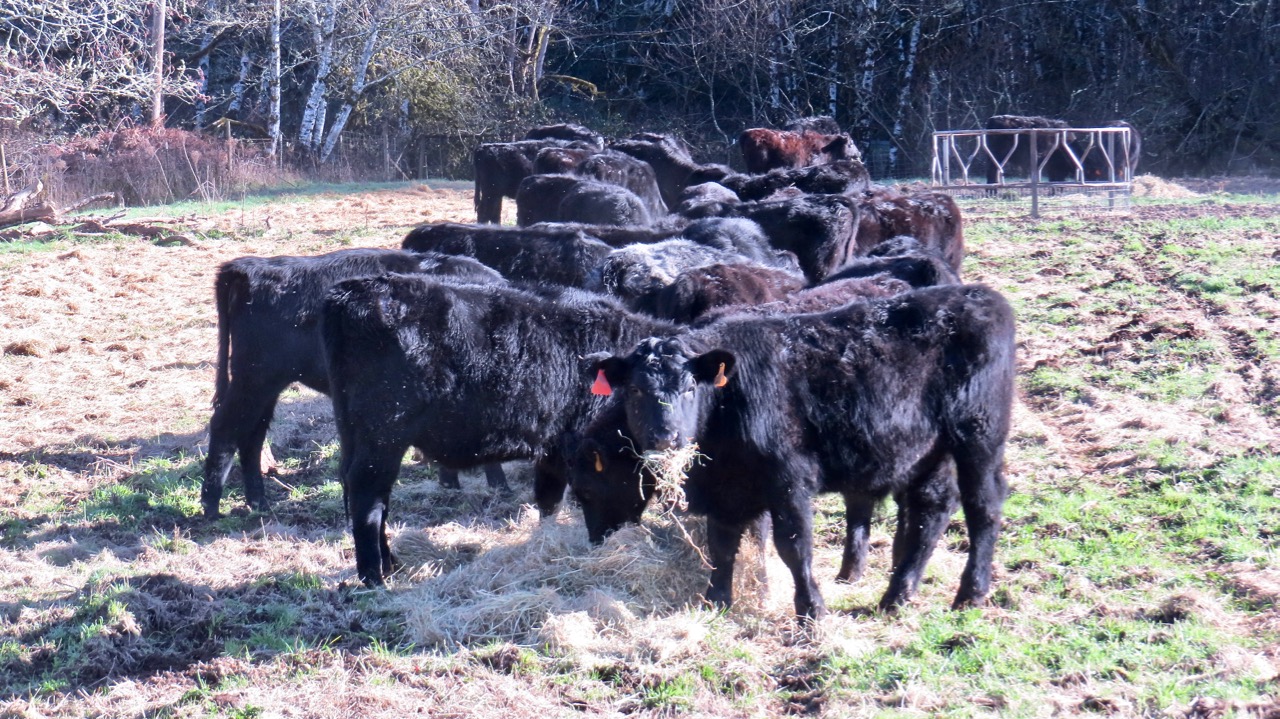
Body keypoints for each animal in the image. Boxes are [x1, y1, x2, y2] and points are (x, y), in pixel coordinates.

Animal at [201, 248, 509, 518]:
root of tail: (250, 267)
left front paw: (451, 482)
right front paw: (498, 485)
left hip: (266, 386)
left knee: (251, 435)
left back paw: (258, 502)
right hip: (254, 380)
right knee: (226, 428)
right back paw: (211, 507)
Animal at [319, 276, 676, 585]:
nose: (610, 540)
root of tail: (354, 292)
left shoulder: (553, 446)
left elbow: (548, 498)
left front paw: (543, 540)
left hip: (356, 433)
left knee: (369, 493)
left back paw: (390, 565)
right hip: (382, 436)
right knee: (368, 496)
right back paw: (374, 577)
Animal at [584, 283, 1016, 618]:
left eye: (691, 387)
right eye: (635, 389)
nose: (666, 436)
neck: (728, 406)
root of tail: (980, 294)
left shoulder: (789, 479)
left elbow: (793, 545)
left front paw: (812, 609)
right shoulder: (725, 489)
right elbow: (722, 545)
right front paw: (716, 601)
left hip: (979, 436)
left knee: (983, 507)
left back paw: (970, 595)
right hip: (929, 452)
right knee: (932, 510)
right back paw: (897, 596)